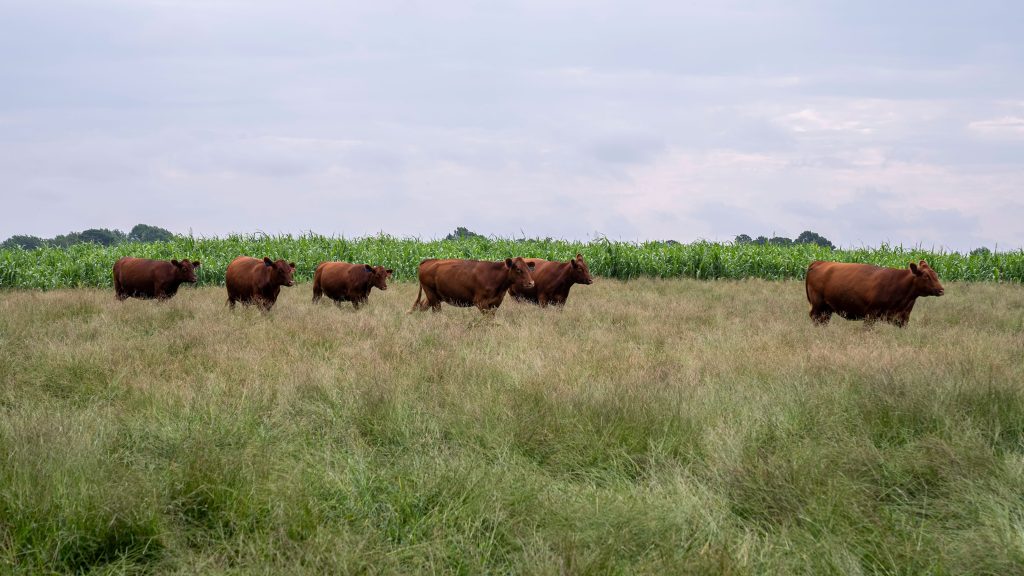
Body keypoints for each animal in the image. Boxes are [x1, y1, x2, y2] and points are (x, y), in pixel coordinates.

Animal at [805, 260, 944, 327]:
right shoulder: (870, 315)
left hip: (827, 309)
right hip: (818, 306)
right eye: (926, 276)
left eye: (936, 274)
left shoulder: (903, 318)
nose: (941, 289)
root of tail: (820, 262)